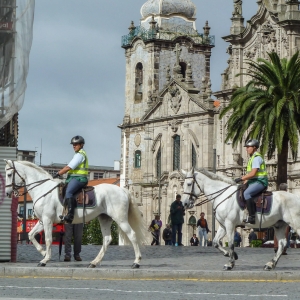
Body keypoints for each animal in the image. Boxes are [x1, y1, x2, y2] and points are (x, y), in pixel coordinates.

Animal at [3, 161, 146, 268]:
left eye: (9, 174)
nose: (8, 193)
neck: (43, 189)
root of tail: (123, 190)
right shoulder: (42, 221)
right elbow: (31, 235)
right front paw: (43, 253)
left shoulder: (48, 220)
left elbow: (48, 239)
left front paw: (45, 259)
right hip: (105, 219)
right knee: (107, 239)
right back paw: (94, 262)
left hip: (120, 219)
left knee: (132, 235)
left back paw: (136, 262)